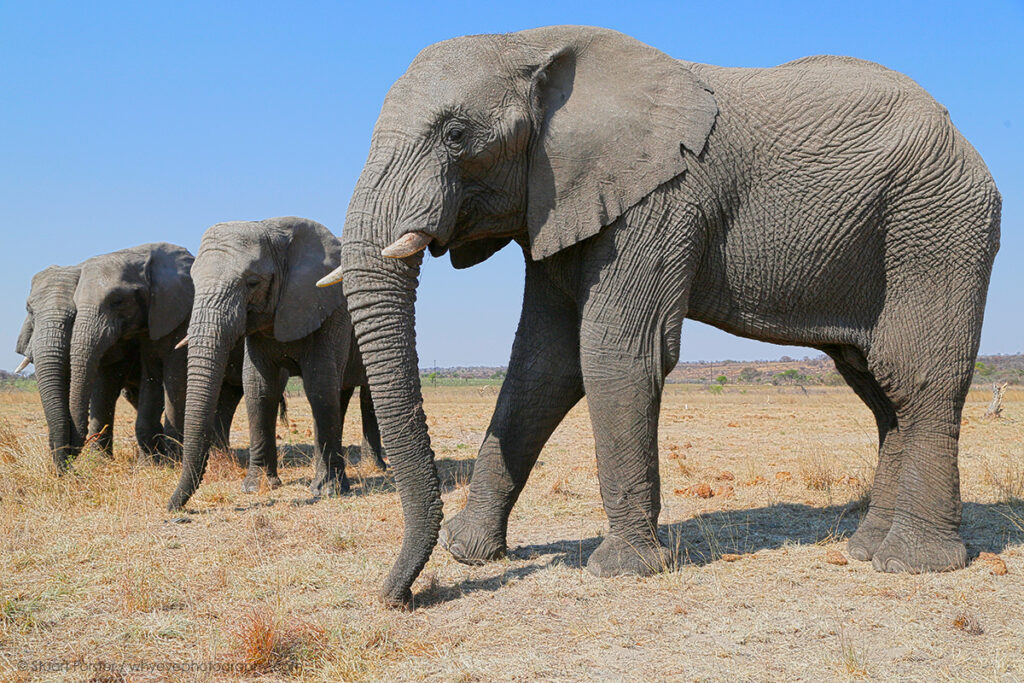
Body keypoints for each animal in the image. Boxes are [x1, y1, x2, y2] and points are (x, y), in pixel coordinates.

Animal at [167, 216, 385, 509]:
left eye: (252, 282)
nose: (171, 506)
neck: (274, 229)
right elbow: (259, 388)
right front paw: (256, 487)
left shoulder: (331, 308)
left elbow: (319, 384)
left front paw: (330, 491)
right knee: (341, 391)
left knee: (366, 393)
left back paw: (375, 468)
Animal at [317, 25, 999, 610]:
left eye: (456, 135)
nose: (399, 597)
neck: (532, 42)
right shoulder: (560, 201)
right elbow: (542, 367)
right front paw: (470, 553)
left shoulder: (659, 201)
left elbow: (614, 355)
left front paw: (619, 570)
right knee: (879, 387)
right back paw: (865, 548)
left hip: (937, 225)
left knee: (916, 377)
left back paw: (910, 562)